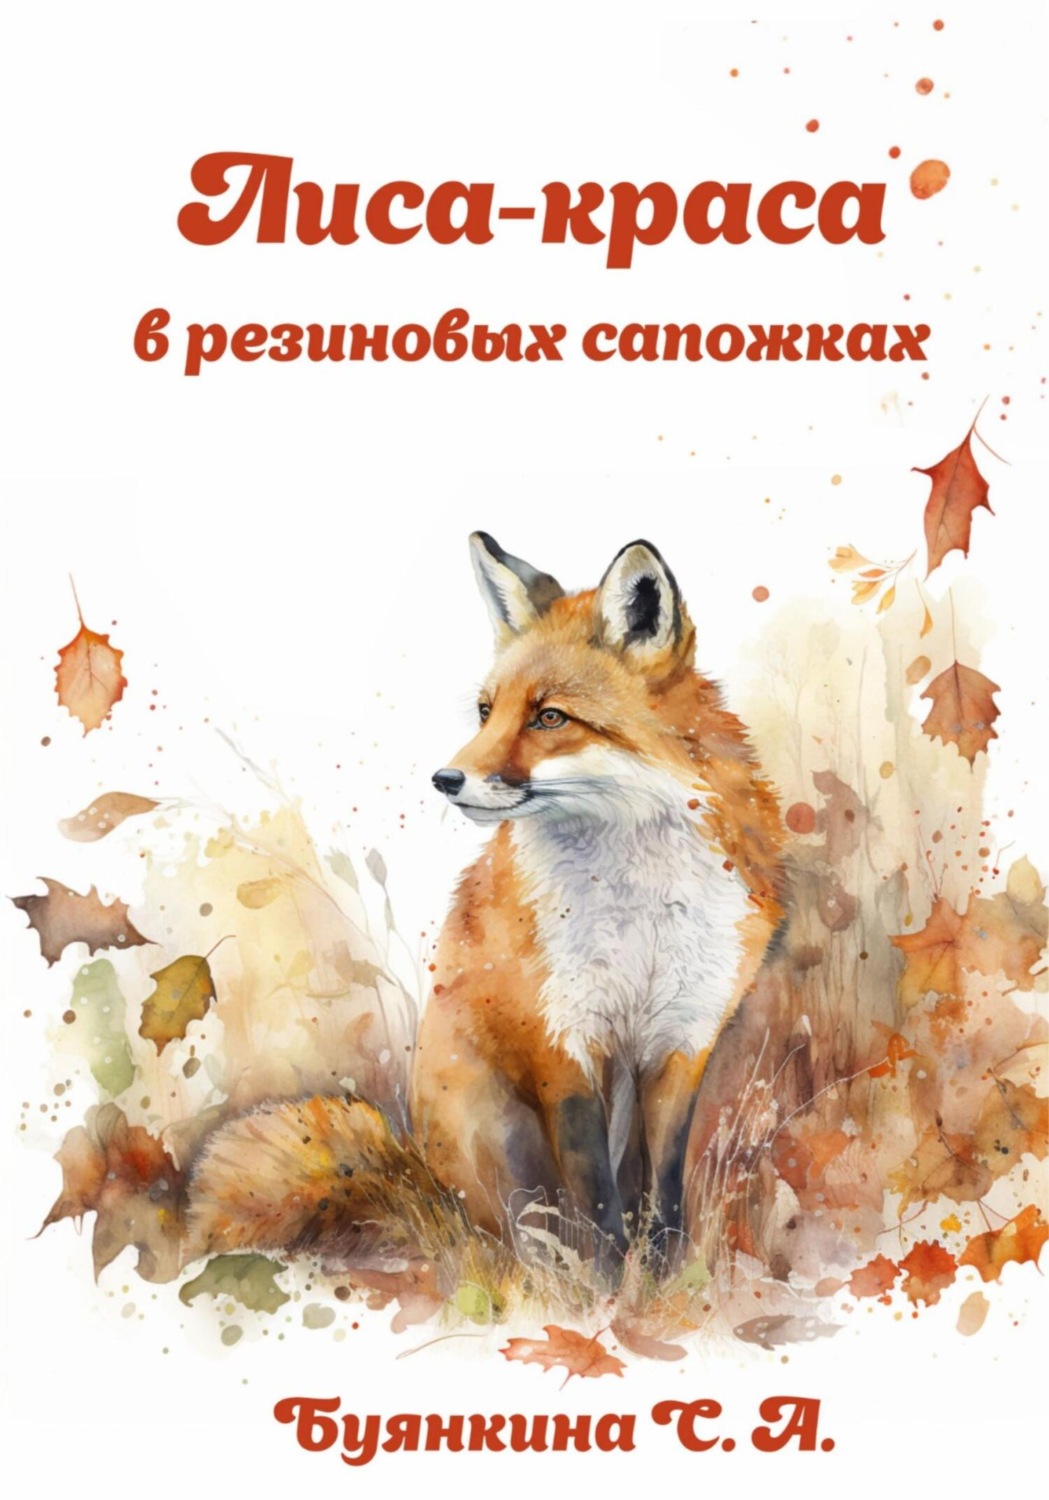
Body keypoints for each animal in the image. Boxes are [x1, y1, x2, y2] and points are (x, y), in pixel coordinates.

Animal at [187, 534, 786, 1271]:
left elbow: (663, 1191)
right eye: (484, 711)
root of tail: (421, 1176)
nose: (445, 779)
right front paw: (605, 1290)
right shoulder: (562, 1038)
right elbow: (596, 1199)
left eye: (549, 717)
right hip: (495, 1138)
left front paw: (660, 1281)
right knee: (508, 1234)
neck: (638, 904)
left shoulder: (684, 1036)